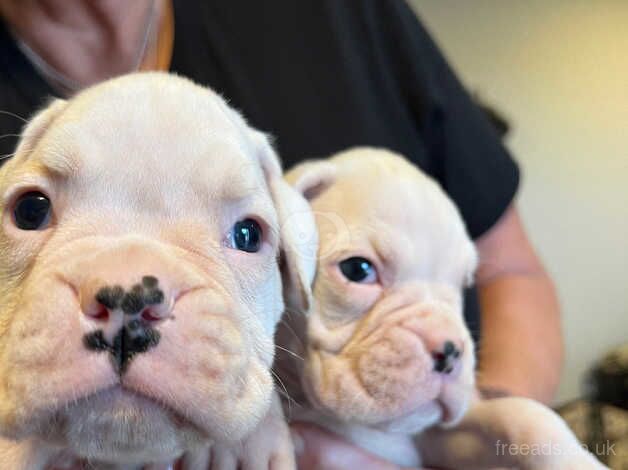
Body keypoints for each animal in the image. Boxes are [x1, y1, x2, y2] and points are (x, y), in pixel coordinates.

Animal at [276, 145, 608, 468]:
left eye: (464, 283)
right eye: (357, 269)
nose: (450, 349)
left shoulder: (443, 438)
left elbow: (523, 415)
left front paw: (575, 461)